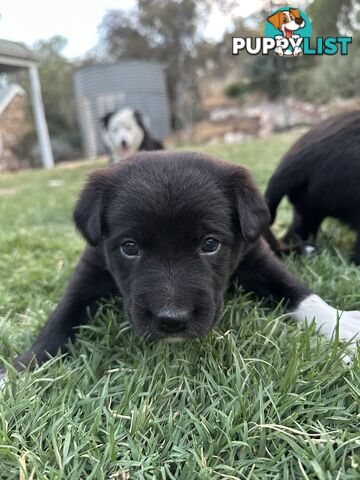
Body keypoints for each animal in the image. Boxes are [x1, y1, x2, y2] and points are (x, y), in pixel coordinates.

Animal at [6, 152, 360, 374]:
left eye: (210, 244)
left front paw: (341, 324)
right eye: (130, 248)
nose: (172, 321)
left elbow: (297, 291)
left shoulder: (256, 256)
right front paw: (23, 366)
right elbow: (62, 315)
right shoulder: (91, 267)